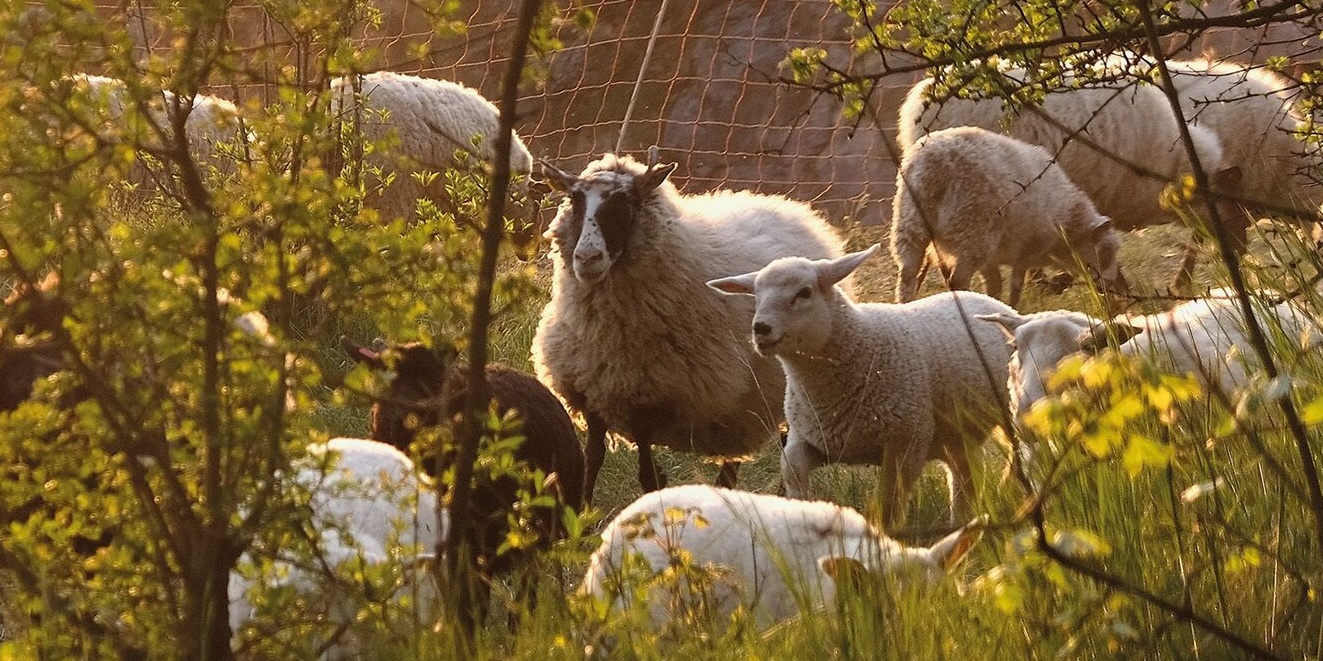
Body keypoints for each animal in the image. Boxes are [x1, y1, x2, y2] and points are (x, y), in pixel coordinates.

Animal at [529, 152, 846, 499]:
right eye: (575, 200)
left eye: (627, 201)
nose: (587, 258)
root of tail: (792, 209)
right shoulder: (593, 395)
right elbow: (592, 462)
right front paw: (584, 510)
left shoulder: (649, 402)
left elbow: (647, 477)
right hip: (747, 401)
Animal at [714, 244, 1010, 526]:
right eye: (756, 295)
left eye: (805, 292)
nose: (760, 328)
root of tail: (983, 298)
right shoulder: (816, 436)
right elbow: (792, 468)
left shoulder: (907, 443)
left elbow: (890, 502)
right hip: (958, 436)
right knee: (966, 475)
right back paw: (964, 520)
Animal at [889, 124, 1127, 305]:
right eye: (1106, 252)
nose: (1120, 289)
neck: (1066, 219)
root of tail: (933, 166)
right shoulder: (1027, 249)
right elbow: (1015, 285)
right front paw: (1012, 308)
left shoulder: (993, 258)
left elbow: (995, 285)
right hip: (973, 232)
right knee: (957, 281)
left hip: (909, 225)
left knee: (907, 277)